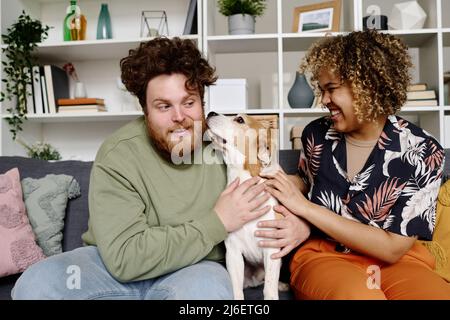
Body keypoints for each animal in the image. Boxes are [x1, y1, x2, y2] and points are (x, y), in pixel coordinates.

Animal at [206, 112, 286, 300]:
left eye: (240, 120)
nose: (210, 112)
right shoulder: (233, 253)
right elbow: (236, 291)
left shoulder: (271, 250)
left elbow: (269, 290)